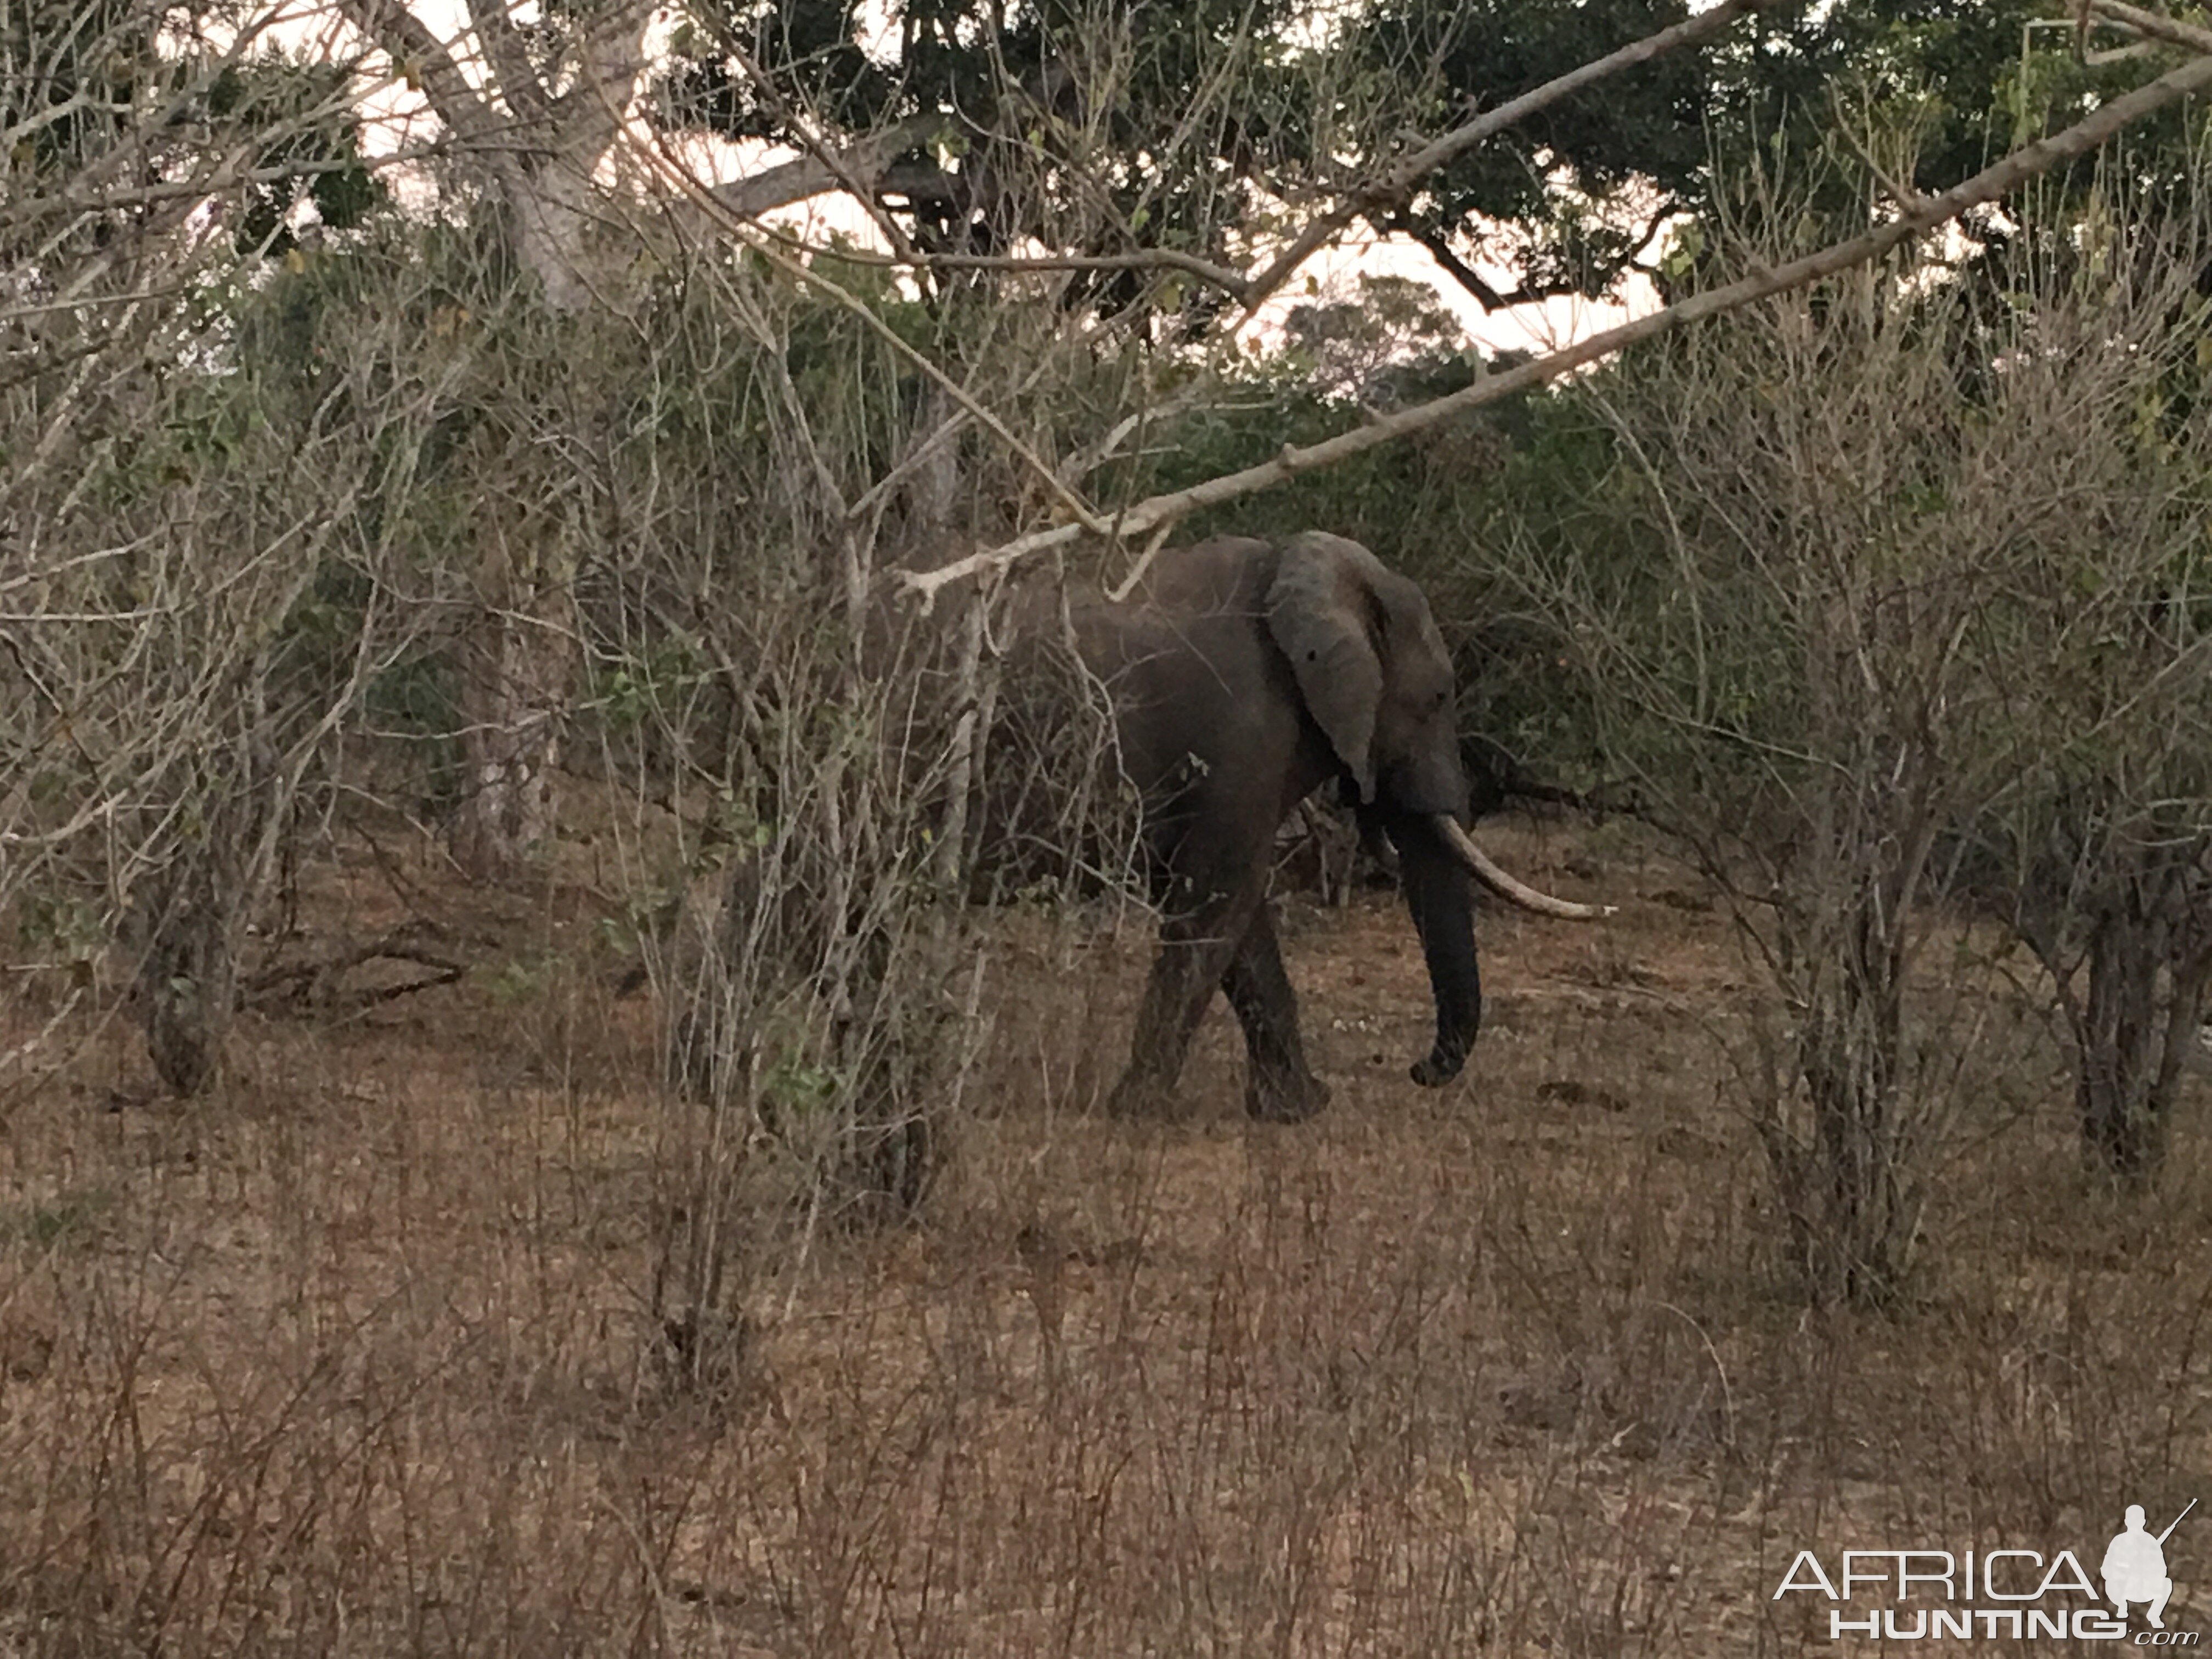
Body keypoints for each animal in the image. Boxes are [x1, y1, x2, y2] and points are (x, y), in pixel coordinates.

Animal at [1035, 539, 1610, 1124]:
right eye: (1438, 699)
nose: (1417, 1071)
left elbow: (1242, 923)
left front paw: (1298, 1109)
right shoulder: (1246, 741)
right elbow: (1221, 899)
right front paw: (1141, 1109)